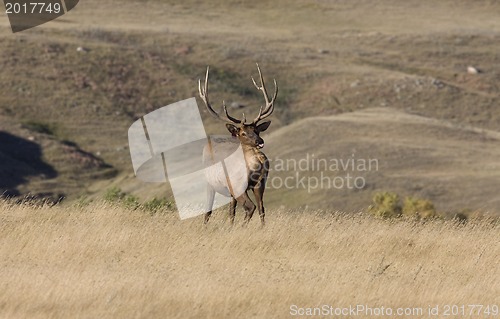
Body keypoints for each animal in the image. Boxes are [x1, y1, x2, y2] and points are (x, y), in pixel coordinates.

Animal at [198, 63, 278, 228]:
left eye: (256, 130)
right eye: (244, 133)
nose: (260, 141)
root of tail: (259, 160)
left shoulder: (210, 183)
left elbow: (208, 211)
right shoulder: (231, 192)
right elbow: (231, 212)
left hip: (238, 184)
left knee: (250, 207)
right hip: (260, 184)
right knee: (261, 208)